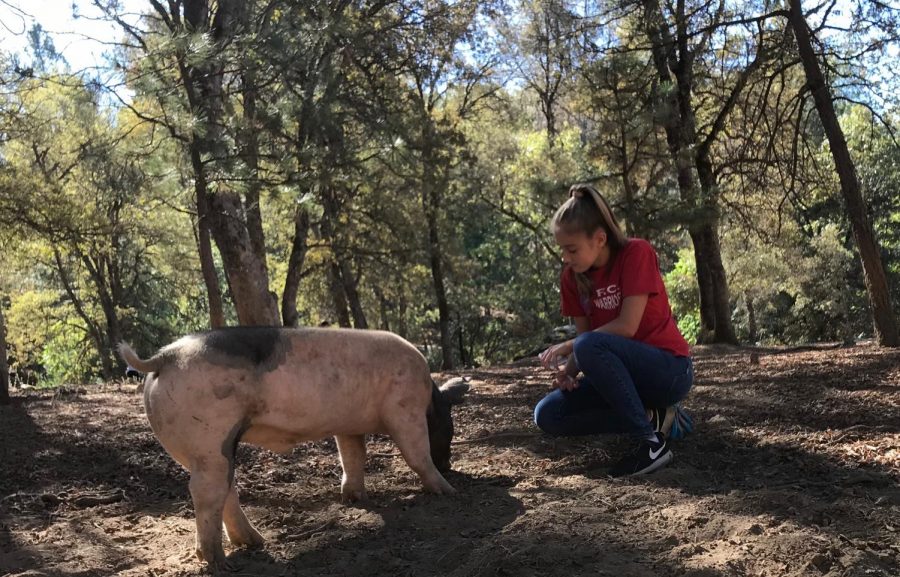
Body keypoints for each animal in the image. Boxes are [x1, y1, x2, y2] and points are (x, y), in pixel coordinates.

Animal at [118, 326, 472, 568]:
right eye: (449, 427)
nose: (450, 466)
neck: (428, 400)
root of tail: (165, 357)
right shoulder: (404, 409)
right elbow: (416, 454)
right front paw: (449, 491)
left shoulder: (348, 427)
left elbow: (353, 456)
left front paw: (355, 498)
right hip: (208, 438)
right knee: (205, 493)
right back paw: (219, 561)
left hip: (206, 449)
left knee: (225, 490)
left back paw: (254, 543)